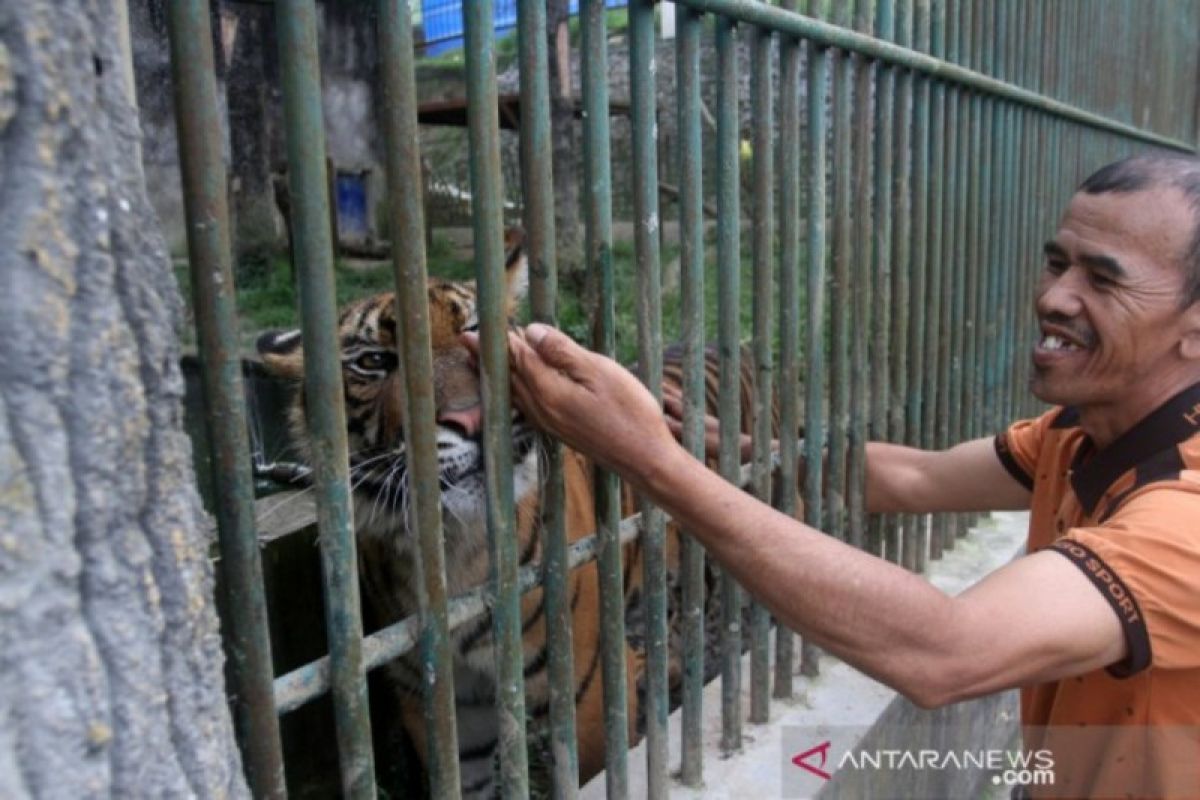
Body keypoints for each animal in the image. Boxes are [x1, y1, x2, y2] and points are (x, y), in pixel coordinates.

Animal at [258, 227, 792, 796]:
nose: (471, 419)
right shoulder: (441, 706)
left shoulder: (586, 694)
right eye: (375, 362)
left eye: (475, 332)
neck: (456, 548)